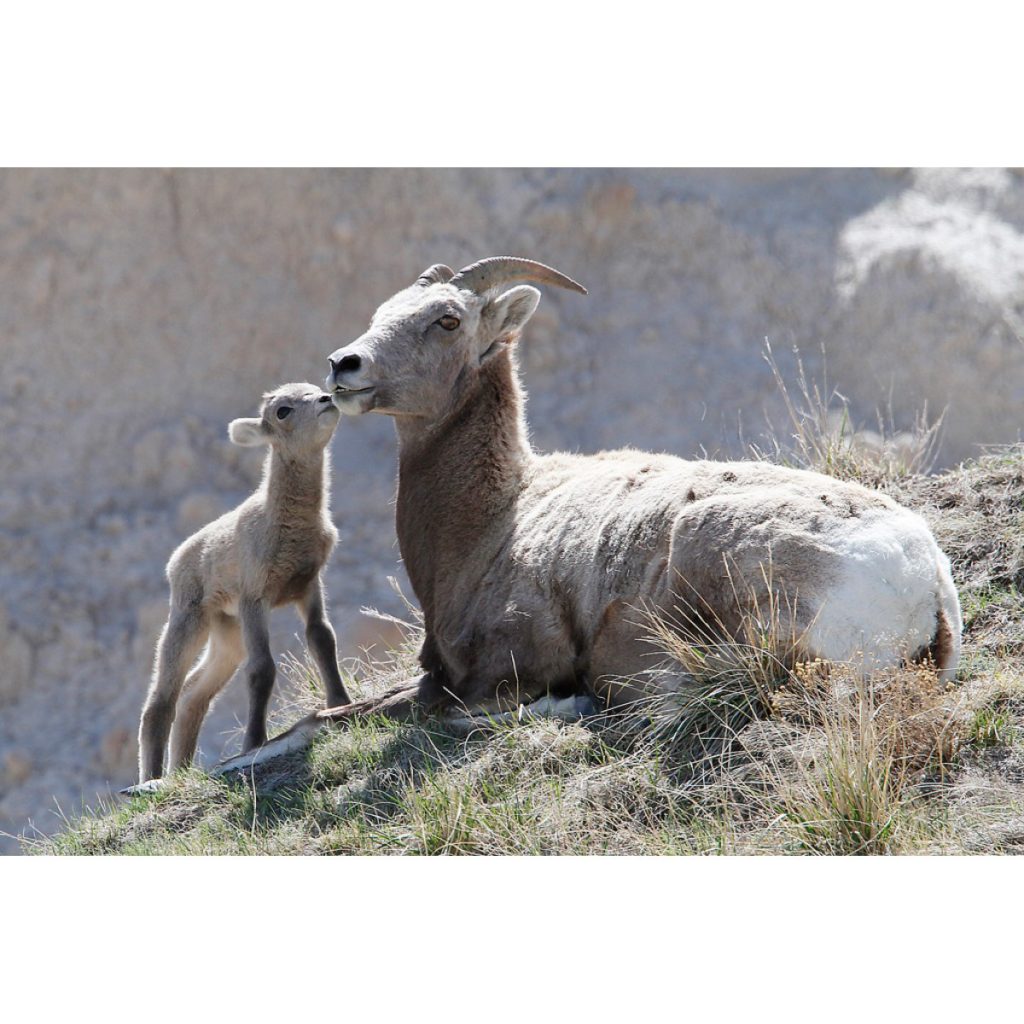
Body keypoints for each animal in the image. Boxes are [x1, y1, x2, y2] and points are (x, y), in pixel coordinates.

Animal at [134, 385, 350, 782]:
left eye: (313, 388)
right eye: (283, 410)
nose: (327, 400)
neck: (282, 524)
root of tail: (175, 560)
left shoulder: (308, 586)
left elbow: (322, 639)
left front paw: (341, 704)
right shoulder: (255, 599)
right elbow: (262, 668)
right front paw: (254, 743)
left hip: (227, 635)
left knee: (194, 695)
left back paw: (182, 768)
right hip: (189, 621)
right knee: (161, 701)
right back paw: (154, 778)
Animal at [216, 260, 958, 770]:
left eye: (447, 320)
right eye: (385, 309)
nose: (343, 367)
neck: (495, 518)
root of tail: (922, 585)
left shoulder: (502, 669)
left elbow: (355, 717)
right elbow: (328, 713)